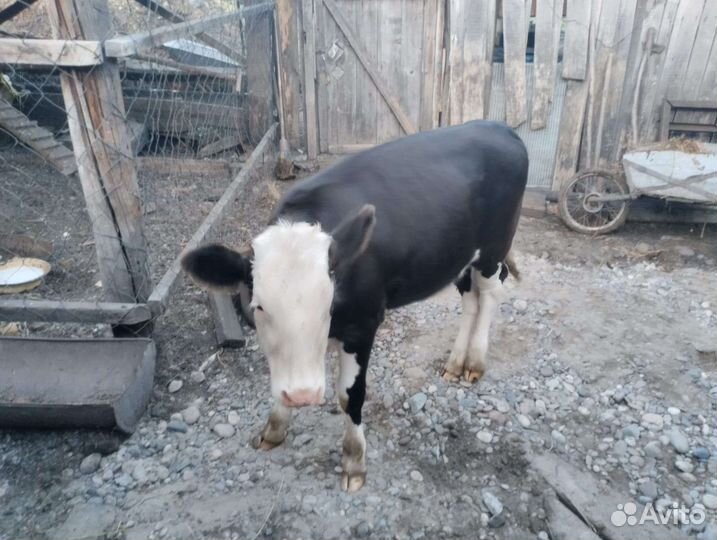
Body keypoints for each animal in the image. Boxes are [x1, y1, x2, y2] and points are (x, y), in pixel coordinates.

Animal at [181, 120, 528, 492]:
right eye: (259, 307)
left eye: (328, 302)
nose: (303, 395)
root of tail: (497, 125)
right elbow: (279, 378)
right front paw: (274, 428)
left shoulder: (364, 325)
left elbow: (351, 395)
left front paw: (353, 460)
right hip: (458, 255)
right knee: (469, 298)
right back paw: (455, 362)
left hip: (494, 247)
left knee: (491, 292)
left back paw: (474, 361)